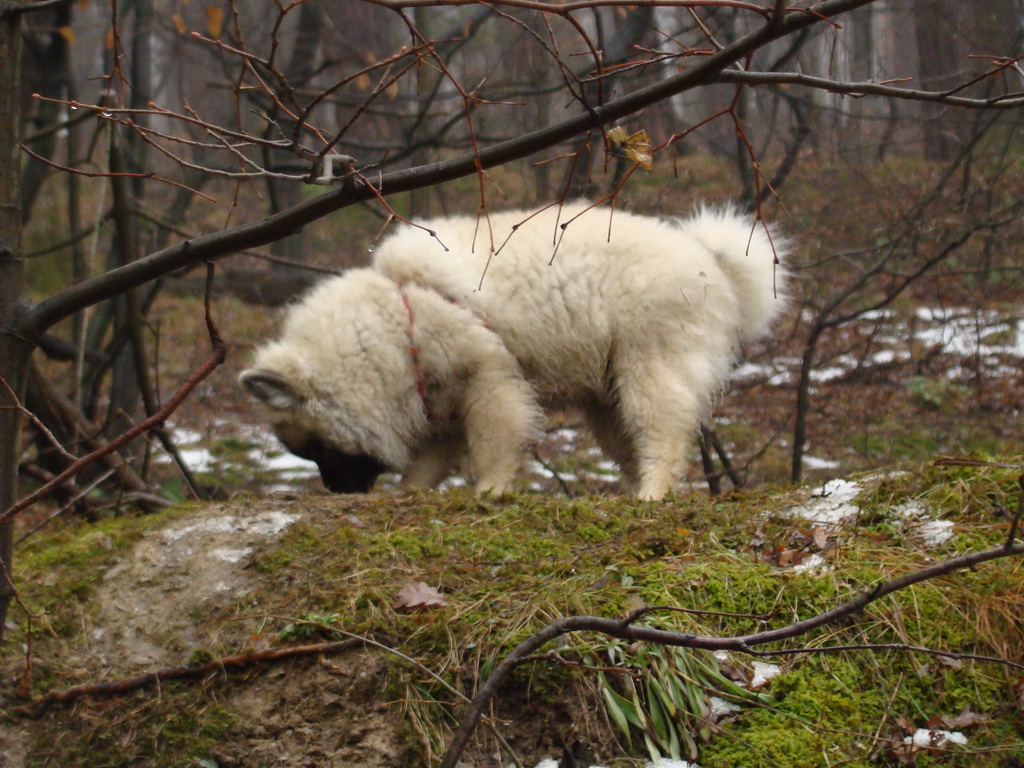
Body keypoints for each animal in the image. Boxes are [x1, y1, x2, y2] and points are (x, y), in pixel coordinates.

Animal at [241, 201, 790, 499]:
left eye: (316, 449)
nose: (338, 494)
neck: (398, 322)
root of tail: (711, 260)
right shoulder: (442, 407)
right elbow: (426, 466)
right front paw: (412, 493)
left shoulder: (489, 379)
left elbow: (493, 447)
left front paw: (489, 491)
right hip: (609, 398)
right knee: (636, 445)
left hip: (647, 368)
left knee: (665, 436)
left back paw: (652, 495)